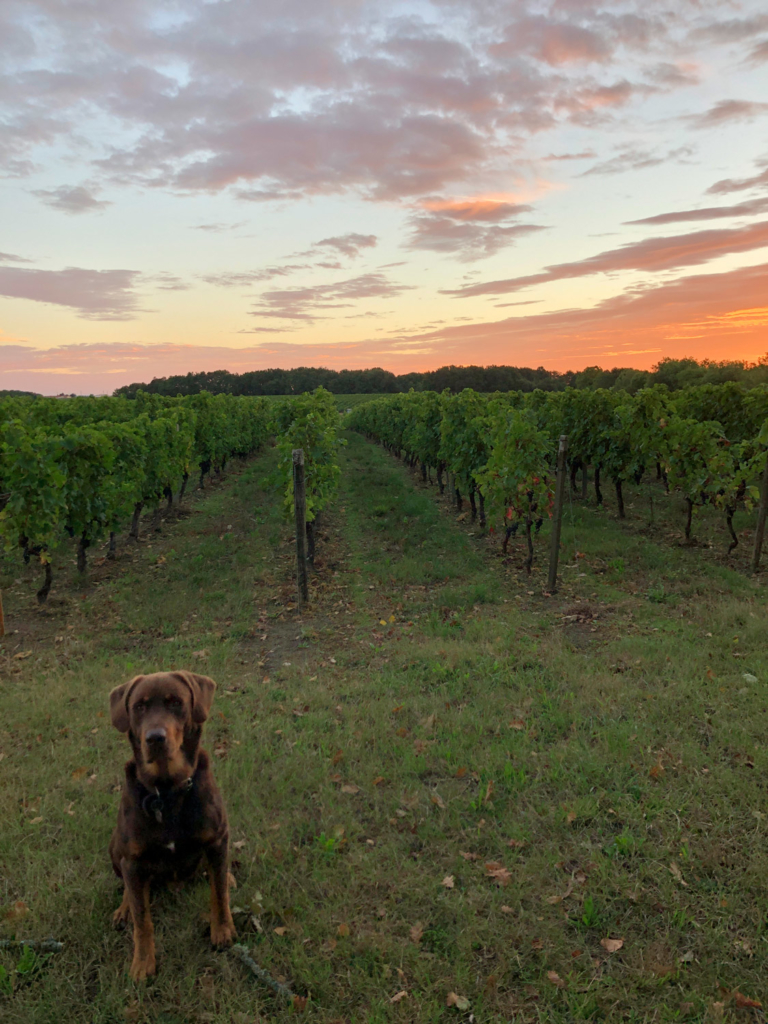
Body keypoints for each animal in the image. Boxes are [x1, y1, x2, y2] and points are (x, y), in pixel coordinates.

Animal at [107, 667, 236, 978]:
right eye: (139, 707)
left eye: (176, 702)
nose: (155, 738)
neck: (166, 790)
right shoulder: (132, 859)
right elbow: (142, 919)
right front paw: (143, 961)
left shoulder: (218, 839)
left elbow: (219, 894)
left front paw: (222, 930)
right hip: (115, 847)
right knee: (129, 887)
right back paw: (124, 908)